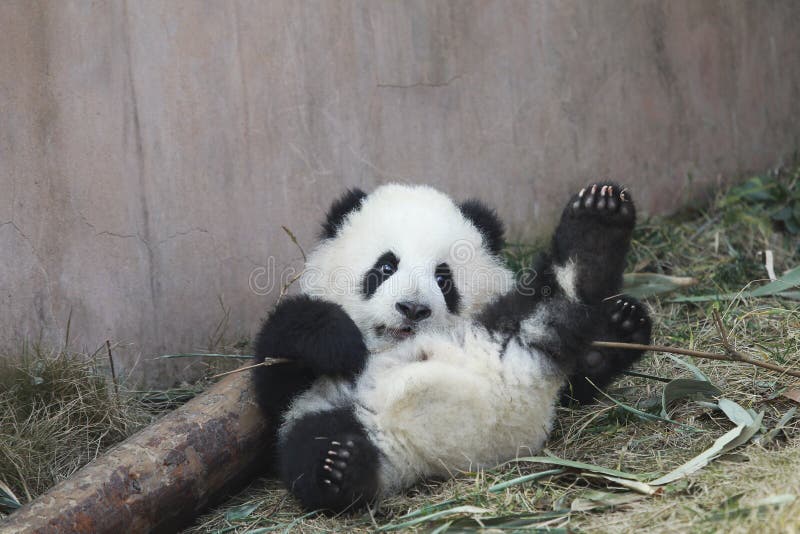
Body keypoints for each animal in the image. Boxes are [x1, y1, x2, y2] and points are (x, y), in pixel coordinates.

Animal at [252, 182, 651, 512]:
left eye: (443, 279)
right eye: (385, 267)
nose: (413, 308)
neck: (386, 348)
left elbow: (576, 387)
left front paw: (623, 326)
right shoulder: (307, 388)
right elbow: (276, 379)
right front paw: (340, 342)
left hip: (502, 328)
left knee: (557, 293)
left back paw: (597, 224)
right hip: (344, 413)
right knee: (309, 451)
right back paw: (339, 465)